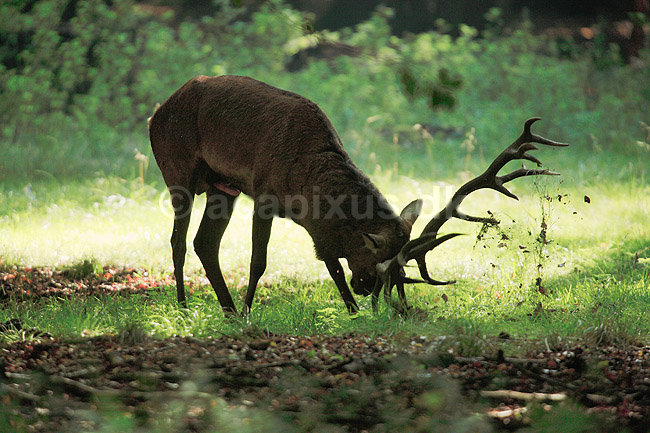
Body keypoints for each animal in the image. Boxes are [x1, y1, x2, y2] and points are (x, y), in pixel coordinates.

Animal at [149, 75, 567, 316]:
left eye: (400, 274)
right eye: (379, 264)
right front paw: (252, 312)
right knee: (178, 240)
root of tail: (156, 112)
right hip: (178, 171)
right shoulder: (264, 195)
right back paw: (185, 306)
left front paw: (352, 313)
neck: (304, 187)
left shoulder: (317, 229)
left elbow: (331, 263)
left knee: (205, 243)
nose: (366, 290)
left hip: (224, 187)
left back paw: (227, 310)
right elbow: (258, 261)